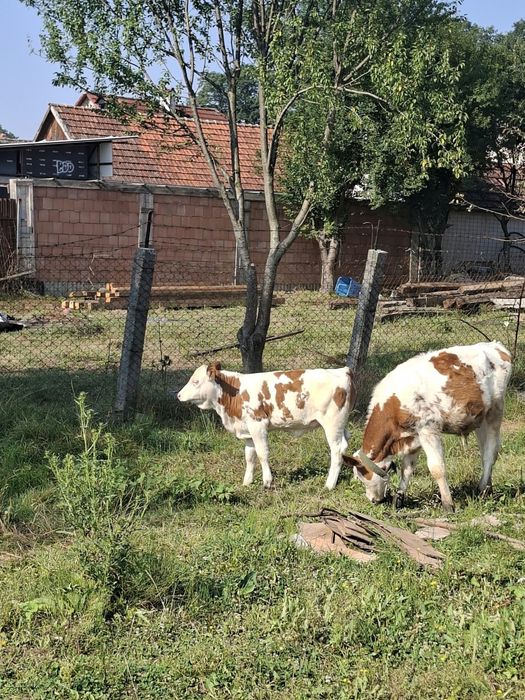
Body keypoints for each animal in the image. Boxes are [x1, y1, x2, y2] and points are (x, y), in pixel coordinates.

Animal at [176, 362, 356, 489]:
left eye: (195, 381)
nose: (178, 395)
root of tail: (342, 370)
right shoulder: (247, 430)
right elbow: (249, 456)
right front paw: (247, 482)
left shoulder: (258, 424)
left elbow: (262, 454)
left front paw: (267, 482)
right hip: (342, 424)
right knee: (346, 445)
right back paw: (355, 476)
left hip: (332, 424)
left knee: (337, 451)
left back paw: (329, 485)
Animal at [344, 341, 512, 511]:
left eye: (363, 477)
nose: (373, 500)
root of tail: (495, 346)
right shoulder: (414, 436)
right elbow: (407, 468)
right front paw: (398, 500)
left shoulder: (428, 429)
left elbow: (436, 468)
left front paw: (448, 505)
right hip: (480, 419)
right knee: (485, 450)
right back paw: (488, 487)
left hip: (495, 411)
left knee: (491, 451)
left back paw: (482, 489)